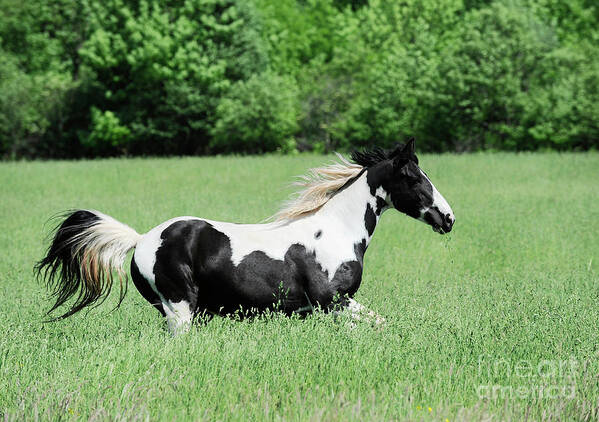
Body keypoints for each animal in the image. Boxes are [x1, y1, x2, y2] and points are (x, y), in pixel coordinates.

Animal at [34, 140, 454, 334]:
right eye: (413, 178)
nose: (448, 219)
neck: (335, 232)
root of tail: (140, 240)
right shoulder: (331, 302)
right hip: (179, 309)